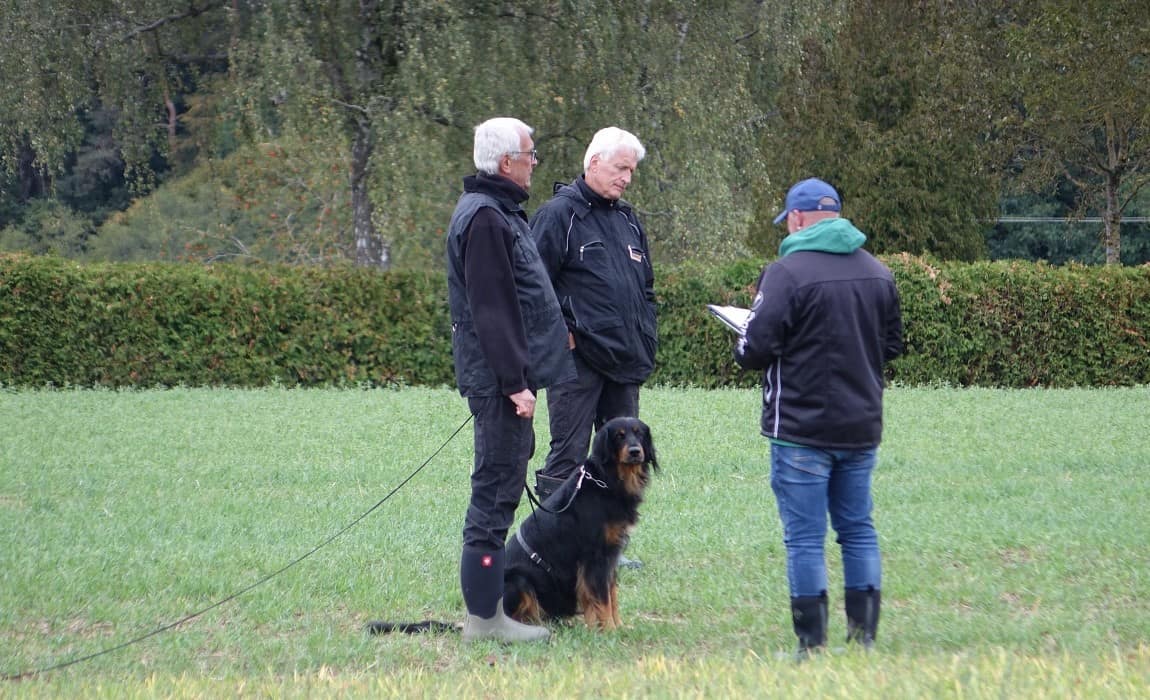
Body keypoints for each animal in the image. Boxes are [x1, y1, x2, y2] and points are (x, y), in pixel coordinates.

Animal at [501, 413, 657, 629]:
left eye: (639, 433)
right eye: (619, 436)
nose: (635, 451)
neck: (608, 480)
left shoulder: (610, 554)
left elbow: (611, 594)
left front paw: (617, 626)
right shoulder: (595, 556)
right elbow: (602, 598)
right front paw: (610, 629)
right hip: (518, 580)